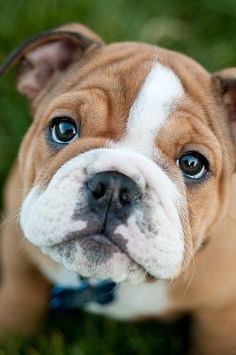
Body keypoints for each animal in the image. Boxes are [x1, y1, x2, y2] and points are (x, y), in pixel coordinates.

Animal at [0, 23, 236, 354]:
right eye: (64, 129)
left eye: (192, 163)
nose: (113, 186)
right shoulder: (15, 246)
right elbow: (18, 300)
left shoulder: (223, 313)